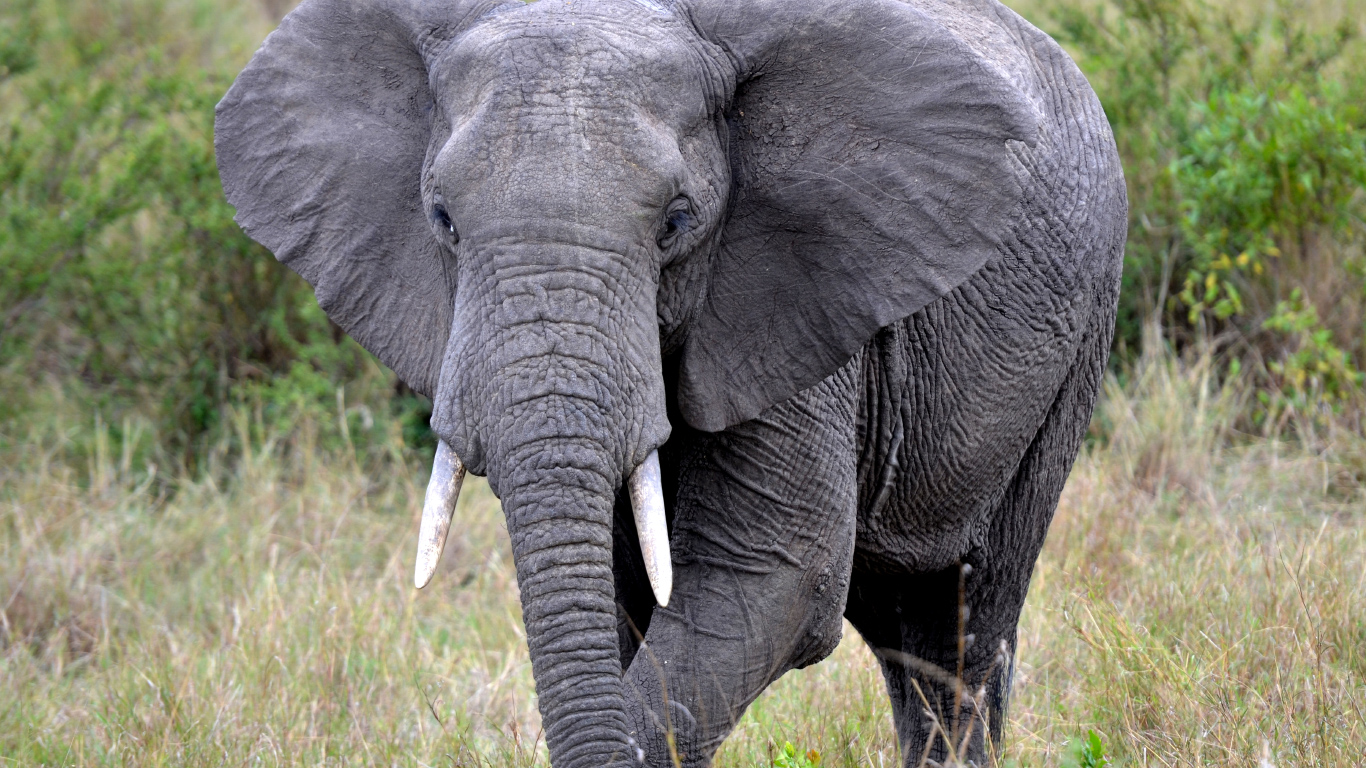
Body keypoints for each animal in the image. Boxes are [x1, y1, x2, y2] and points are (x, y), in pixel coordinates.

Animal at [213, 0, 1125, 759]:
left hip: (1078, 340)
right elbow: (627, 605)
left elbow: (774, 580)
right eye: (441, 219)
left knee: (963, 623)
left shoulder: (801, 287)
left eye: (677, 224)